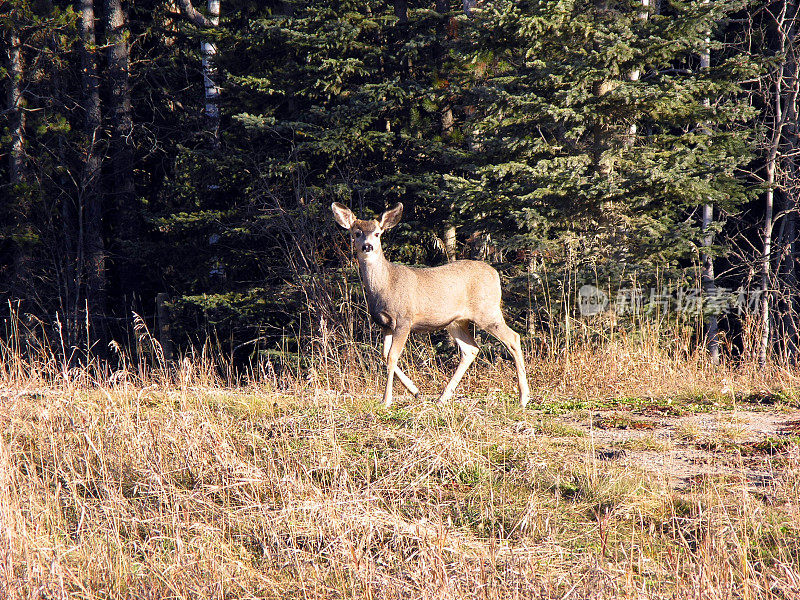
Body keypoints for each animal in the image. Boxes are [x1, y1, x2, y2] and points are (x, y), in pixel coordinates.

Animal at [332, 202, 532, 408]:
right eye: (357, 233)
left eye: (378, 233)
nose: (368, 246)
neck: (385, 285)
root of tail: (495, 274)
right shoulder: (385, 324)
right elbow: (385, 355)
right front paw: (414, 390)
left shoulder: (404, 319)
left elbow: (392, 356)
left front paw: (386, 400)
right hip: (456, 321)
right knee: (470, 349)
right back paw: (443, 397)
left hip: (487, 311)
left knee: (513, 338)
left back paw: (523, 397)